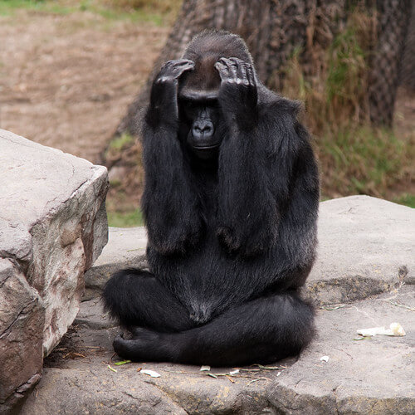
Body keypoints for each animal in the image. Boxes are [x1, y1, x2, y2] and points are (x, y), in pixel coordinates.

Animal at [103, 30, 318, 368]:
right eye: (191, 104)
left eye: (214, 103)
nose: (202, 127)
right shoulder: (148, 126)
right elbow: (172, 234)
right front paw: (164, 98)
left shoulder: (280, 130)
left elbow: (249, 235)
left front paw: (240, 108)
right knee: (123, 287)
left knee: (281, 315)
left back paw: (163, 345)